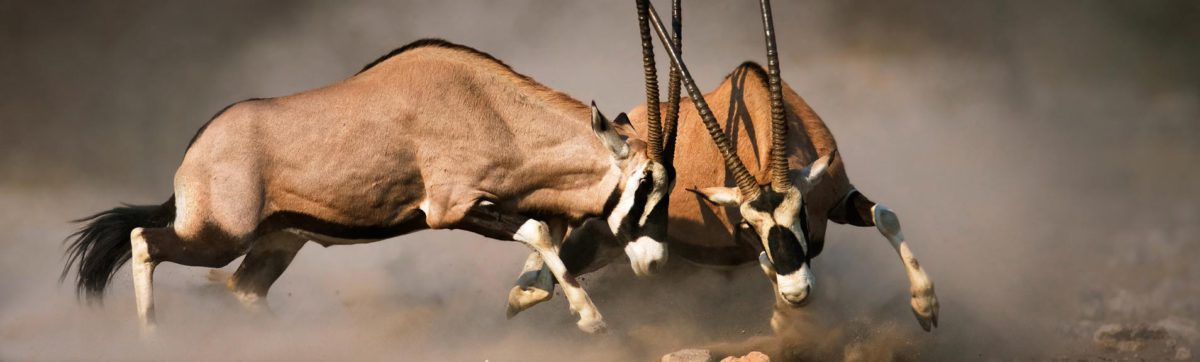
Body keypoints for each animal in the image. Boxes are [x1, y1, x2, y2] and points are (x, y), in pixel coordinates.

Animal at [63, 38, 686, 333]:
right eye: (643, 185)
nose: (657, 262)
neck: (492, 109)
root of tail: (194, 152)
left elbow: (547, 239)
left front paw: (527, 296)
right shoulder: (451, 208)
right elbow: (537, 230)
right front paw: (591, 317)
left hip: (278, 242)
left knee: (244, 290)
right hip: (218, 236)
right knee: (145, 241)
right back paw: (152, 337)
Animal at [506, 0, 936, 333]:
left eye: (801, 215)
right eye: (748, 225)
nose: (797, 294)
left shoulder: (836, 196)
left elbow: (886, 216)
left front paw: (925, 305)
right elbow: (764, 261)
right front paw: (782, 321)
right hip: (598, 240)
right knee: (535, 282)